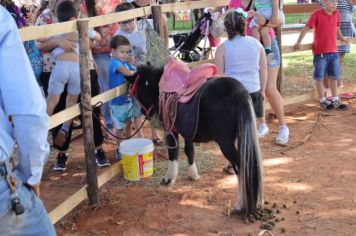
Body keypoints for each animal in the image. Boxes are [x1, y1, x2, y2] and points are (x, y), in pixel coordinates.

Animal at [127, 63, 264, 215]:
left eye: (136, 90)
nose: (145, 113)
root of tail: (239, 92)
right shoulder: (188, 131)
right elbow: (189, 151)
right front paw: (193, 175)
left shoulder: (170, 130)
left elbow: (173, 153)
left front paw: (169, 179)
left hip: (226, 144)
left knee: (241, 167)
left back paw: (240, 204)